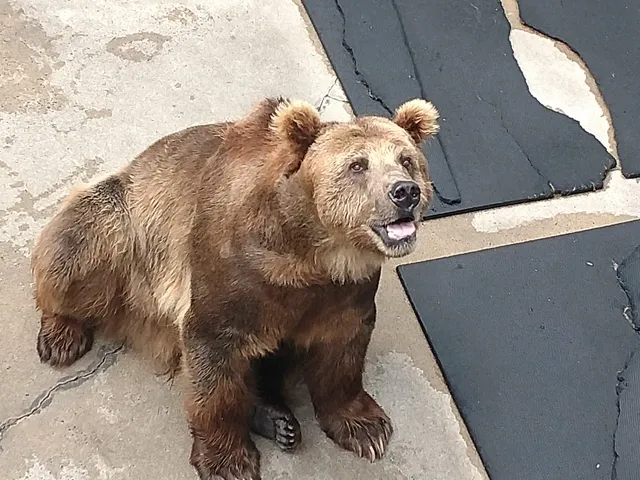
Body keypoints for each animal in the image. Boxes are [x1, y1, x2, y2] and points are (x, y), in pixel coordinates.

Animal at [30, 96, 439, 480]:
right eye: (357, 165)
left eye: (406, 159)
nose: (405, 192)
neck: (310, 253)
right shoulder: (231, 274)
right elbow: (215, 363)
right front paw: (229, 462)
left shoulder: (343, 291)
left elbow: (341, 350)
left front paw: (366, 428)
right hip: (124, 228)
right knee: (75, 250)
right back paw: (61, 335)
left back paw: (277, 420)